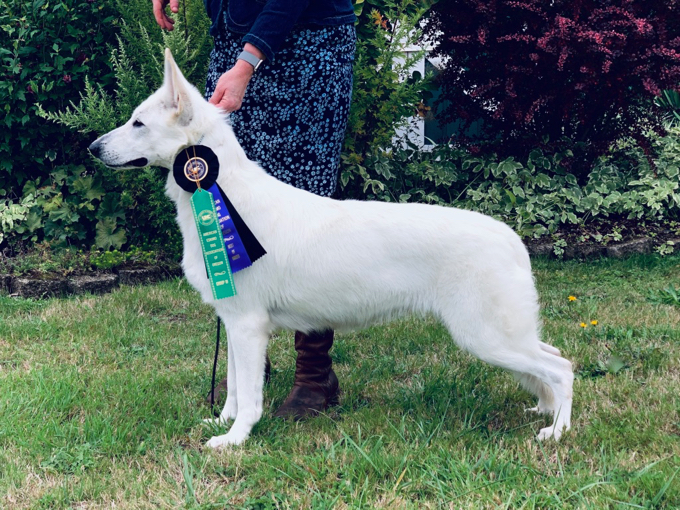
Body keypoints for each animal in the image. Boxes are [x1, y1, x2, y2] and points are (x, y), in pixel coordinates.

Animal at [87, 47, 572, 446]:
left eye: (137, 123)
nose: (91, 148)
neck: (222, 193)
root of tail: (510, 237)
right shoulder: (233, 322)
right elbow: (235, 386)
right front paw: (223, 422)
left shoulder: (247, 326)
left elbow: (250, 397)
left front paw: (236, 439)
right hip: (502, 336)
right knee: (552, 358)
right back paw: (543, 409)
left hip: (486, 336)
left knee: (563, 369)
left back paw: (557, 431)